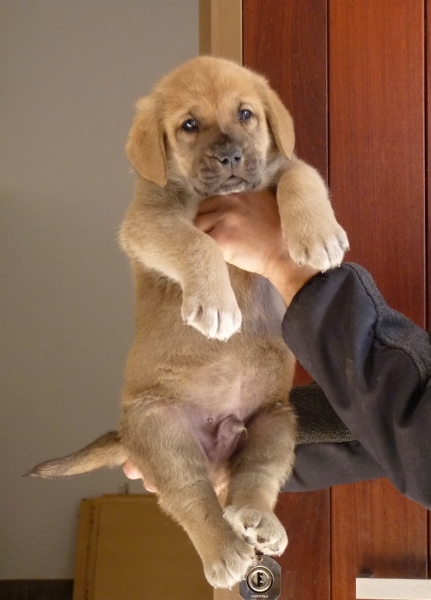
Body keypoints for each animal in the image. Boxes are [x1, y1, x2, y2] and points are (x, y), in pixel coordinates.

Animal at [28, 58, 350, 588]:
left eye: (246, 114)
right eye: (189, 125)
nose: (231, 157)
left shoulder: (284, 167)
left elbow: (301, 179)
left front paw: (319, 236)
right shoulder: (148, 219)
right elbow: (195, 243)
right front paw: (217, 304)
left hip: (275, 424)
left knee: (254, 480)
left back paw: (257, 520)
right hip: (162, 430)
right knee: (192, 498)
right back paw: (224, 552)